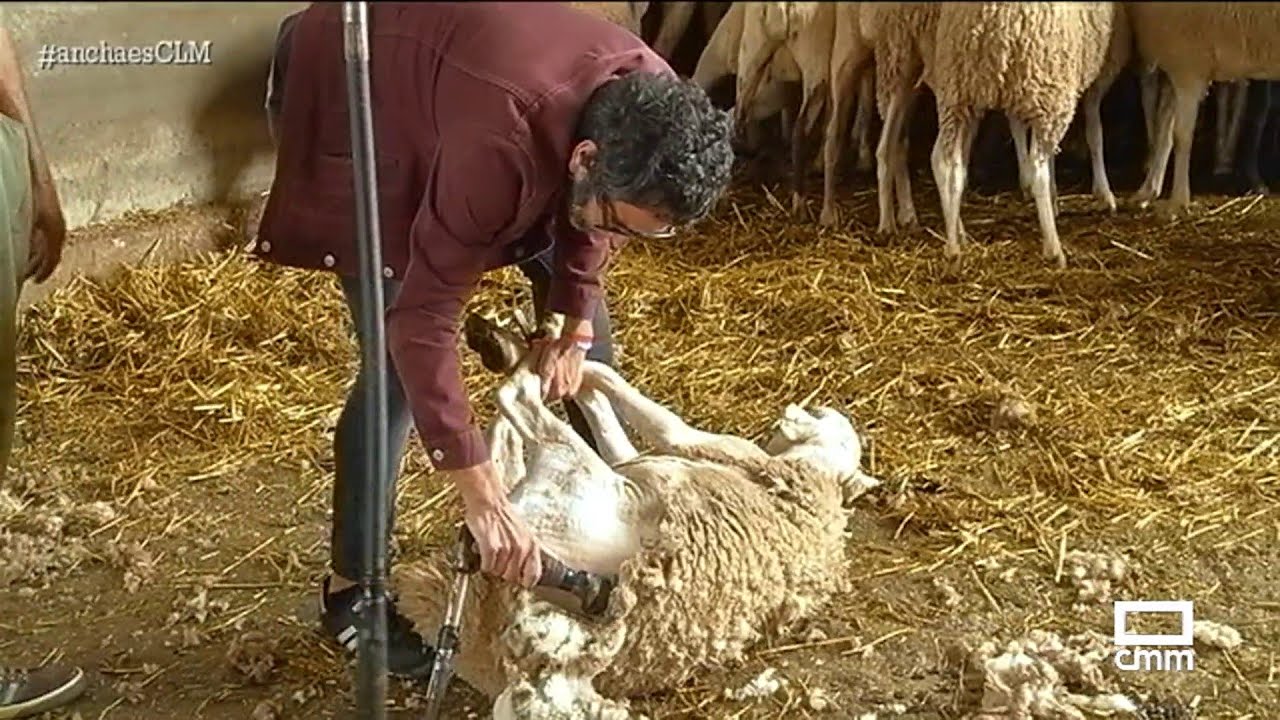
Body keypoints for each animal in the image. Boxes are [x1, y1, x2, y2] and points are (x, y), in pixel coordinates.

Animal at [397, 312, 881, 718]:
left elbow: (653, 417)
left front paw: (569, 363)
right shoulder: (638, 458)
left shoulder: (700, 446)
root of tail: (543, 661)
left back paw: (518, 354)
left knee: (512, 407)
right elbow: (614, 427)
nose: (814, 406)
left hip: (567, 473)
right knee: (504, 448)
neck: (819, 476)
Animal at [927, 2, 1124, 267]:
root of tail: (990, 17)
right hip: (1046, 83)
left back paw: (953, 246)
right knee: (1036, 169)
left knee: (946, 163)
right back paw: (1053, 248)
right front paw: (1101, 194)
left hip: (957, 90)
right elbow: (1094, 131)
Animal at [1129, 3, 1280, 216]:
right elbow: (1164, 132)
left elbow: (1181, 137)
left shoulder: (1188, 64)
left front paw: (1178, 201)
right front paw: (1148, 191)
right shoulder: (1176, 65)